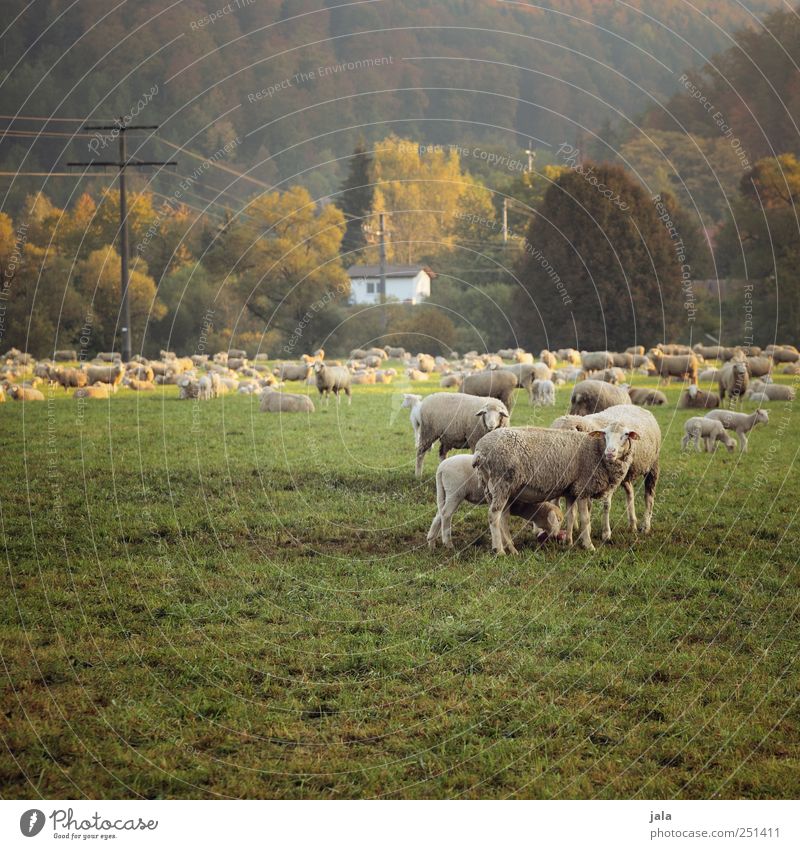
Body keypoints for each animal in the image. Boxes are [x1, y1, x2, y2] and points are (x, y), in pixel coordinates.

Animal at [424, 454, 564, 552]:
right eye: (558, 520)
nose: (558, 535)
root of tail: (441, 468)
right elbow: (502, 521)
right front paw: (506, 545)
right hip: (455, 491)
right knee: (446, 514)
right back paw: (448, 543)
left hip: (444, 491)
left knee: (439, 514)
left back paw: (431, 543)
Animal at [476, 420, 636, 552]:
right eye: (605, 434)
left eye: (625, 435)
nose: (610, 452)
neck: (595, 449)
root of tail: (480, 450)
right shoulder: (583, 487)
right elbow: (585, 519)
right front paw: (588, 545)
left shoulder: (572, 490)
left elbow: (571, 516)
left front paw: (569, 542)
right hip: (501, 483)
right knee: (494, 516)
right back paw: (499, 550)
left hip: (493, 488)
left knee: (503, 519)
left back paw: (510, 548)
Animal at [552, 404, 660, 536]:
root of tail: (636, 406)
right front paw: (578, 528)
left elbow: (604, 505)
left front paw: (605, 533)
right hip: (624, 472)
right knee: (630, 492)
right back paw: (632, 524)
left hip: (652, 465)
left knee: (649, 497)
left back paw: (645, 526)